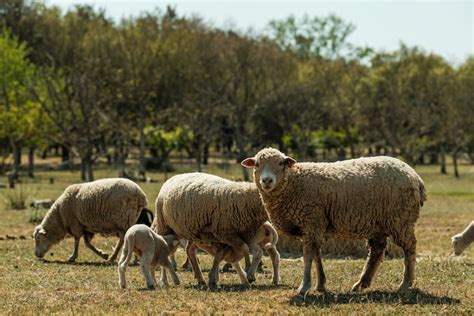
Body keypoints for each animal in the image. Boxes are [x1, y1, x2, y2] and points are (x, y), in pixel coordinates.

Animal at [243, 148, 428, 294]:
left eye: (281, 163)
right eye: (257, 164)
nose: (267, 181)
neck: (293, 183)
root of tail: (415, 176)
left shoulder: (312, 220)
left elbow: (308, 256)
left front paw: (304, 287)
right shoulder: (314, 225)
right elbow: (316, 255)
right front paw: (320, 285)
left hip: (401, 220)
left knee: (409, 248)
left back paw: (405, 284)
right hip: (378, 223)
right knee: (377, 251)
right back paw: (361, 284)